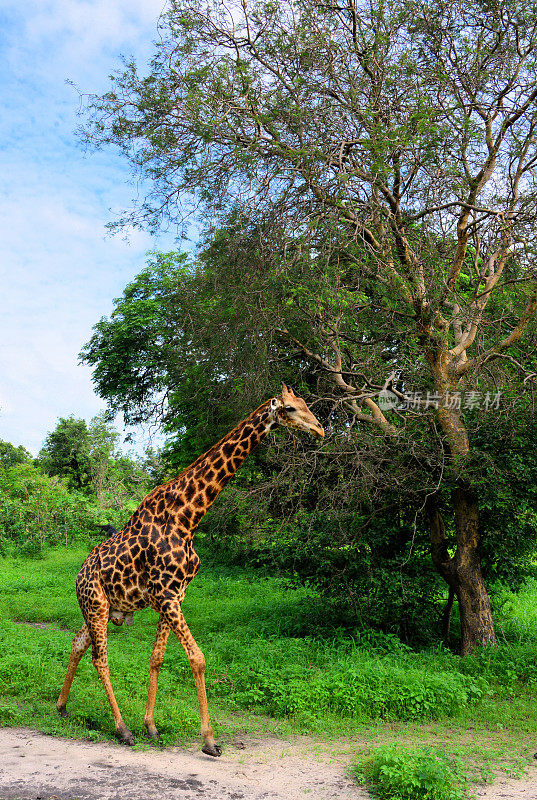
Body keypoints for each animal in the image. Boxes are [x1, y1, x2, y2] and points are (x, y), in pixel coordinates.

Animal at [56, 384, 322, 760]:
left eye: (305, 404)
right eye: (289, 409)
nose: (320, 429)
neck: (188, 517)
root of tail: (79, 574)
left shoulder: (175, 595)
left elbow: (156, 657)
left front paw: (151, 726)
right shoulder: (167, 595)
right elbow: (197, 659)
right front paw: (209, 740)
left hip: (105, 607)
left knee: (78, 643)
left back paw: (62, 706)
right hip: (97, 605)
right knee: (100, 657)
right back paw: (121, 729)